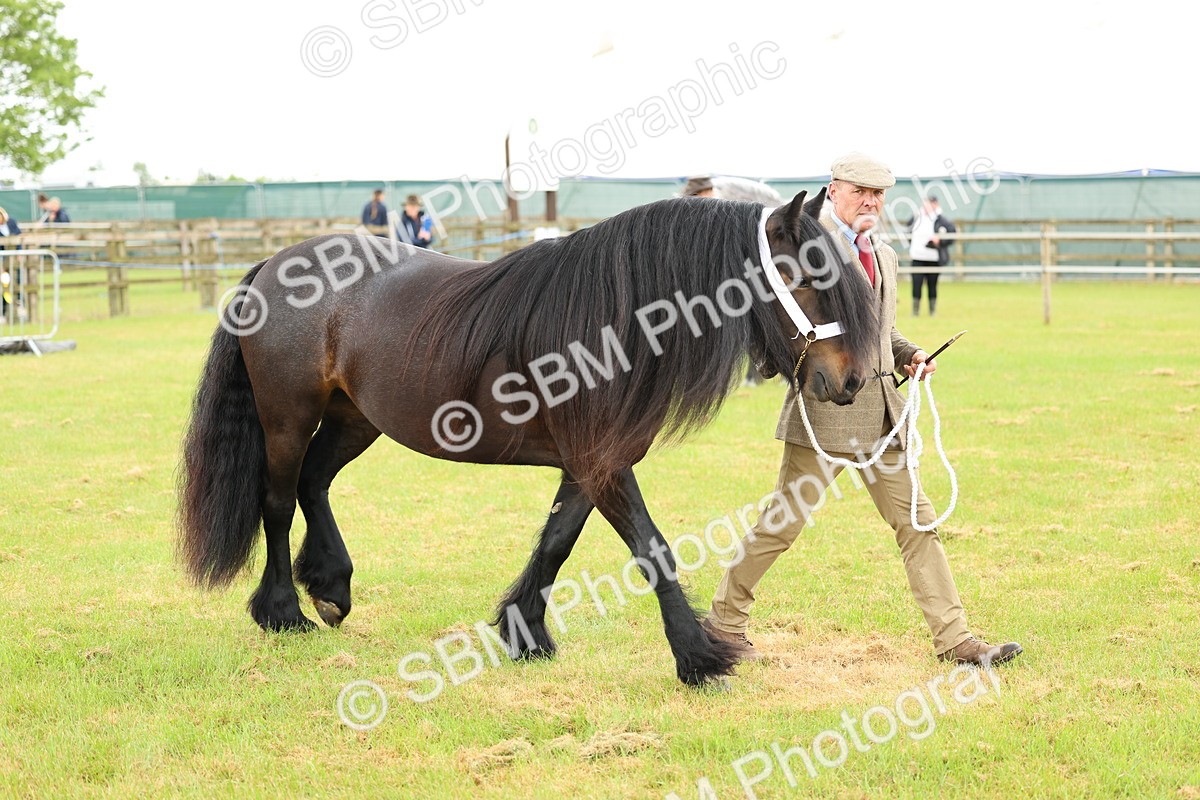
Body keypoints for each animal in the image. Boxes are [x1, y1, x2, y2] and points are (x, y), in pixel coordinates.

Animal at [176, 188, 881, 687]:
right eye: (804, 279)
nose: (850, 381)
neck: (614, 323)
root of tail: (275, 262)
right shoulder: (601, 464)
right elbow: (652, 550)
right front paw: (700, 658)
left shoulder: (592, 465)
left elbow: (556, 543)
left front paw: (526, 635)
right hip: (286, 417)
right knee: (277, 500)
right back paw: (283, 612)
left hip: (355, 418)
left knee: (314, 483)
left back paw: (330, 586)